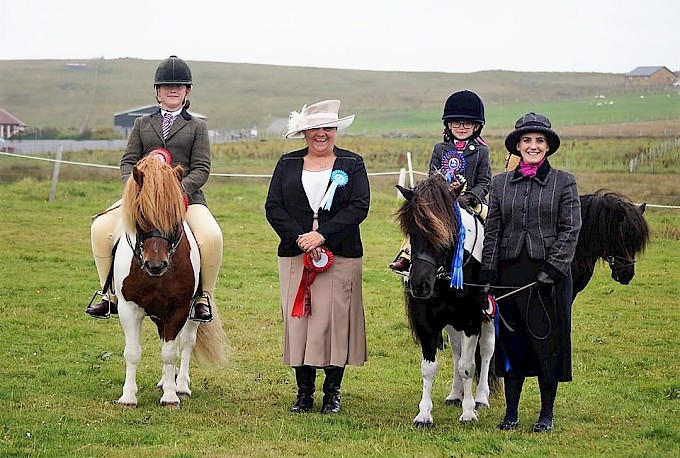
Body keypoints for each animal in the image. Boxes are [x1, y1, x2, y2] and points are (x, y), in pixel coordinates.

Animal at [113, 155, 227, 408]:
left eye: (175, 218)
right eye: (141, 214)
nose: (156, 265)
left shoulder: (178, 309)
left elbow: (171, 352)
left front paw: (171, 396)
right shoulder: (128, 308)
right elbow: (132, 352)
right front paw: (128, 397)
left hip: (192, 312)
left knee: (186, 343)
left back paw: (180, 385)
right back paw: (166, 380)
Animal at [394, 174, 494, 428]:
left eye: (448, 231)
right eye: (412, 230)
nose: (420, 285)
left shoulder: (471, 320)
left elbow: (468, 367)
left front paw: (469, 413)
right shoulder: (427, 321)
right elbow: (429, 368)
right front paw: (424, 415)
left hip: (488, 316)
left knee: (486, 351)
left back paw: (481, 398)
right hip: (451, 322)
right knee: (458, 352)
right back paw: (455, 394)